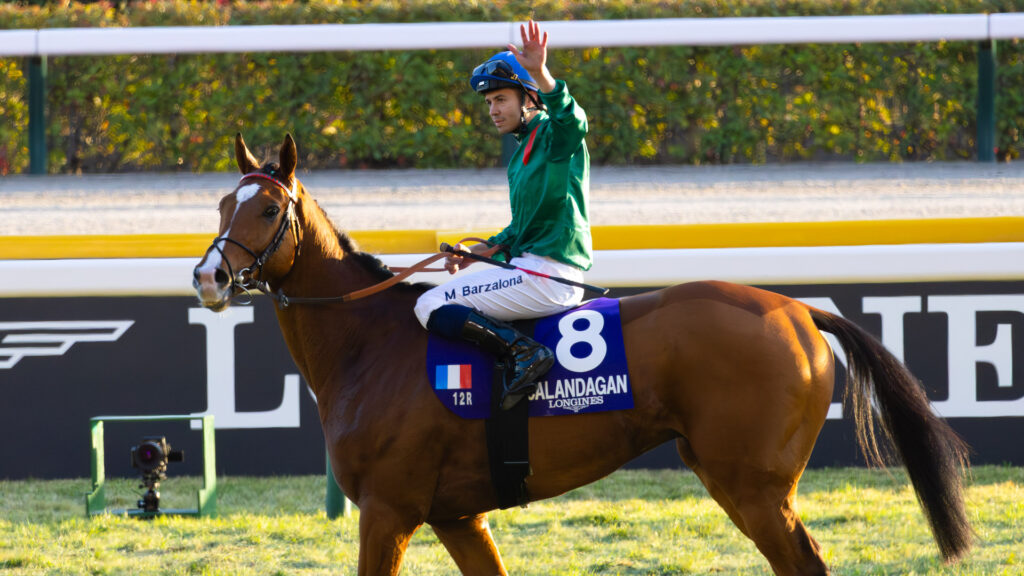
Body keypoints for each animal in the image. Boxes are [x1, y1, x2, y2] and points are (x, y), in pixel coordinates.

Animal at [192, 134, 971, 576]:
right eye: (222, 206)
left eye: (267, 210)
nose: (210, 277)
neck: (371, 344)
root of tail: (798, 309)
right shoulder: (457, 516)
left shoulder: (389, 511)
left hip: (752, 487)